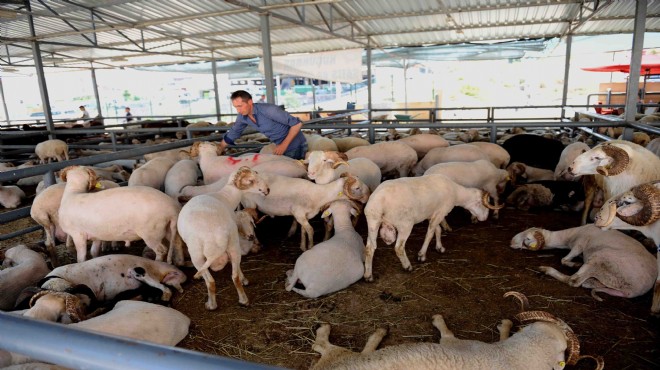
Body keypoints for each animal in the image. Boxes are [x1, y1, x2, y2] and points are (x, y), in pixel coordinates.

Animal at [178, 165, 270, 310]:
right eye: (251, 180)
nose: (267, 190)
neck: (226, 197)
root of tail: (216, 235)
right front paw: (244, 280)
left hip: (196, 255)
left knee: (210, 281)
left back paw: (211, 305)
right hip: (233, 244)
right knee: (235, 275)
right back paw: (243, 300)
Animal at [310, 292, 604, 370]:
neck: (513, 357)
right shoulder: (460, 345)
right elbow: (447, 332)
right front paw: (506, 325)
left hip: (349, 358)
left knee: (327, 349)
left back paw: (377, 334)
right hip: (344, 357)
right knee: (323, 346)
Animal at [364, 174, 502, 280]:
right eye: (481, 204)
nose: (485, 218)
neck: (456, 193)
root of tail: (379, 200)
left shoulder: (432, 214)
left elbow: (438, 230)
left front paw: (439, 247)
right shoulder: (440, 212)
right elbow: (430, 234)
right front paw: (421, 255)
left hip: (372, 222)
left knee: (369, 248)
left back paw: (368, 275)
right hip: (405, 224)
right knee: (399, 248)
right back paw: (407, 266)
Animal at [508, 223, 656, 300]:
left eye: (527, 239)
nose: (511, 242)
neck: (569, 236)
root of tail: (635, 291)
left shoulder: (579, 244)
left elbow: (564, 260)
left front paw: (572, 263)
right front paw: (576, 263)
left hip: (600, 259)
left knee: (574, 281)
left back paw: (547, 269)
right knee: (587, 283)